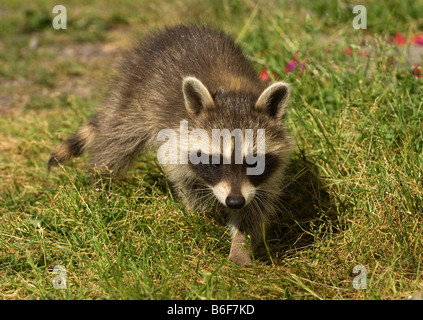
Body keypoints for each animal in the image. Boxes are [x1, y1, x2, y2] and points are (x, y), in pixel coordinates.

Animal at [48, 25, 294, 266]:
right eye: (215, 162)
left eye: (253, 163)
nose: (234, 201)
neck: (234, 93)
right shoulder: (176, 137)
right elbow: (186, 181)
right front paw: (201, 216)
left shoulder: (265, 178)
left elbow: (254, 209)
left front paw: (241, 246)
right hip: (136, 98)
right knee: (117, 141)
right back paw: (100, 180)